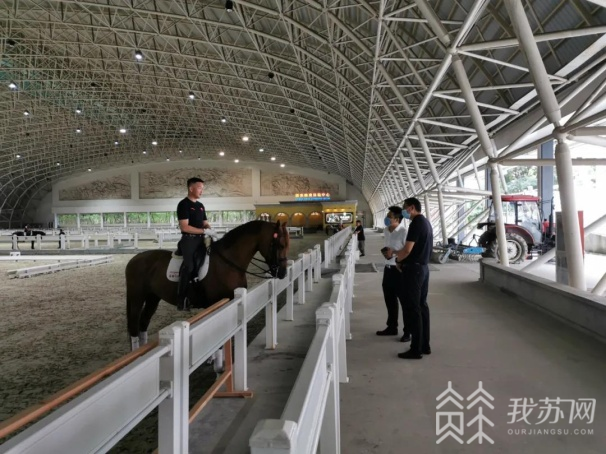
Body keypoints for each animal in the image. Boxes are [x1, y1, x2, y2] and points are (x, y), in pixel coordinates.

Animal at [125, 220, 290, 350]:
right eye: (280, 245)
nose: (283, 273)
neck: (229, 262)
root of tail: (134, 260)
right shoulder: (216, 303)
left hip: (153, 297)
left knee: (144, 322)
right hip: (137, 297)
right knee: (134, 325)